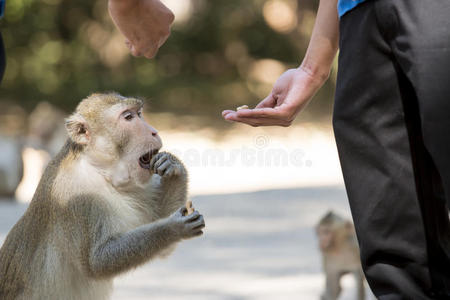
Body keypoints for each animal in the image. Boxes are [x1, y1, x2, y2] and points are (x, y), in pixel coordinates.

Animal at [0, 94, 206, 300]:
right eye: (128, 117)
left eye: (139, 114)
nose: (154, 132)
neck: (100, 169)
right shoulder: (77, 195)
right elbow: (97, 263)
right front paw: (174, 227)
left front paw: (173, 166)